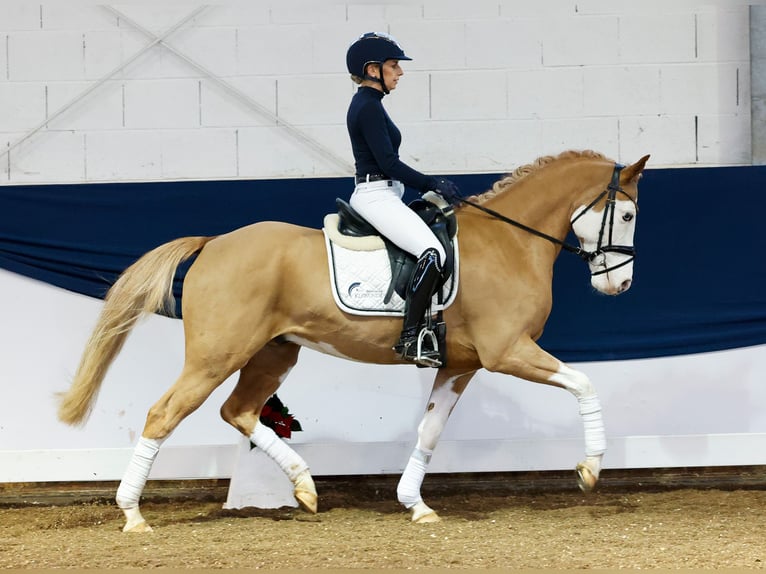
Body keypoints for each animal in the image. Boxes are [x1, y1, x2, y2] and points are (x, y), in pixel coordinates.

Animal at [57, 150, 652, 536]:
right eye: (625, 213)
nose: (619, 285)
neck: (511, 241)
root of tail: (214, 243)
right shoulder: (508, 352)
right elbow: (584, 383)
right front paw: (590, 469)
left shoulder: (460, 366)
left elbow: (430, 431)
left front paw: (415, 504)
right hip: (216, 354)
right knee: (164, 414)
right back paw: (133, 515)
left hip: (275, 352)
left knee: (240, 410)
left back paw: (304, 488)